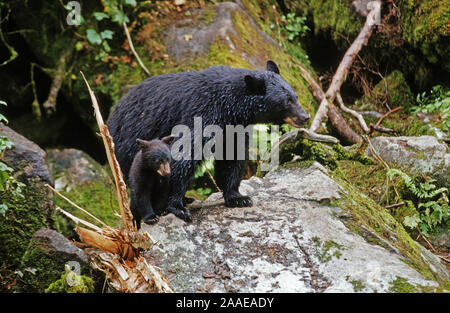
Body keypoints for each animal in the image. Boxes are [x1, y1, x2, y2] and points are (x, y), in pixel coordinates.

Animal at [107, 60, 310, 222]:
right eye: (286, 101)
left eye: (296, 96)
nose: (305, 116)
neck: (230, 106)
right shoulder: (201, 113)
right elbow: (184, 153)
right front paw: (177, 207)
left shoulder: (234, 128)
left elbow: (233, 158)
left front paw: (238, 197)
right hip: (130, 147)